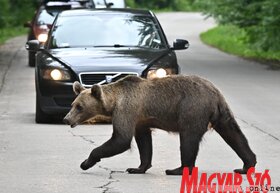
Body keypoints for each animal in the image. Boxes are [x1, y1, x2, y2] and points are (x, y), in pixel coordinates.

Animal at [63, 75, 256, 175]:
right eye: (72, 104)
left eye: (79, 107)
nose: (66, 119)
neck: (113, 102)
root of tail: (214, 93)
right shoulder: (140, 119)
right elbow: (144, 142)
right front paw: (137, 168)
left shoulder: (127, 110)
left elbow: (121, 139)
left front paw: (86, 162)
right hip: (221, 113)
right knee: (234, 134)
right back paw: (246, 165)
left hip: (191, 109)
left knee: (188, 140)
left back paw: (177, 169)